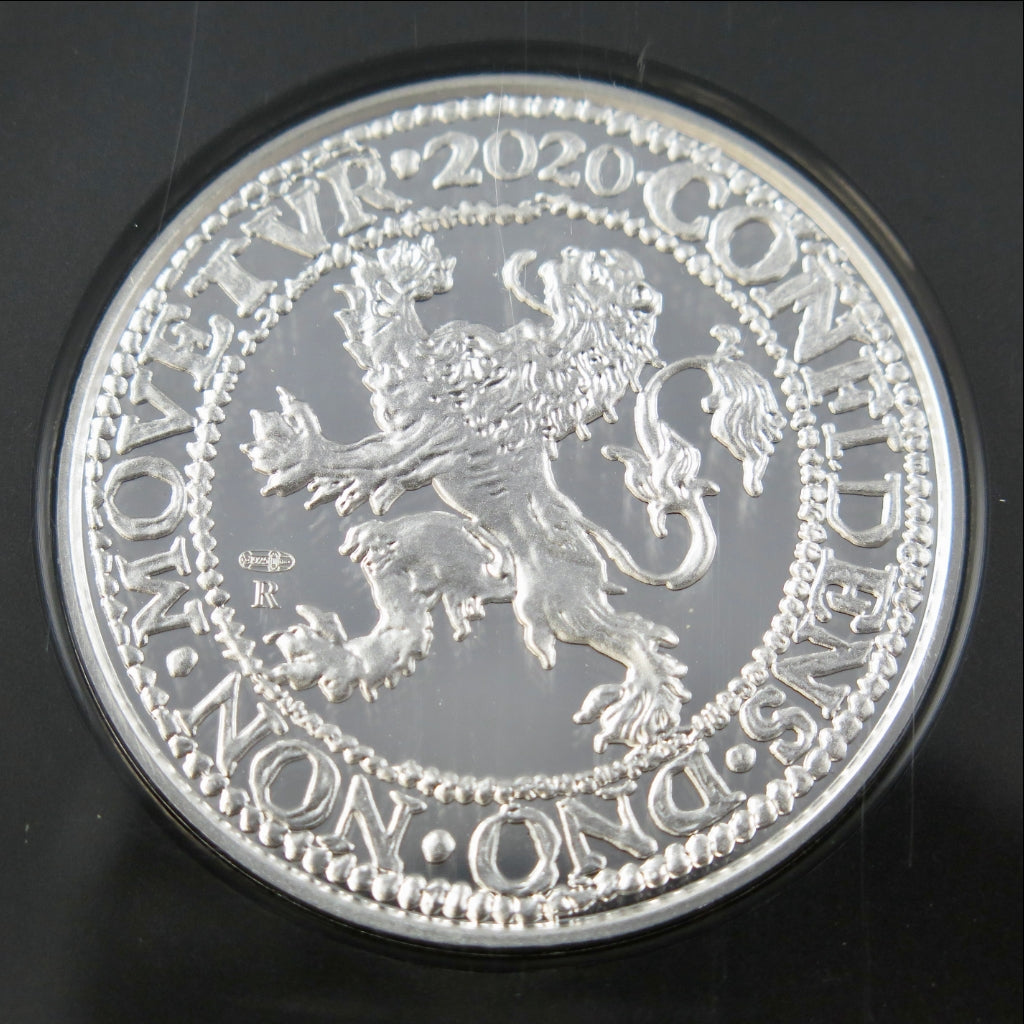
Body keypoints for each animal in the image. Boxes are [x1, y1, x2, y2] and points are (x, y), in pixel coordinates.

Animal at [242, 235, 783, 751]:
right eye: (606, 270)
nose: (576, 252)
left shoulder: (434, 422)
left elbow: (365, 445)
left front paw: (293, 451)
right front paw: (408, 265)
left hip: (562, 607)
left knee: (635, 639)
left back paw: (633, 708)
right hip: (435, 557)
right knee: (402, 616)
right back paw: (327, 656)